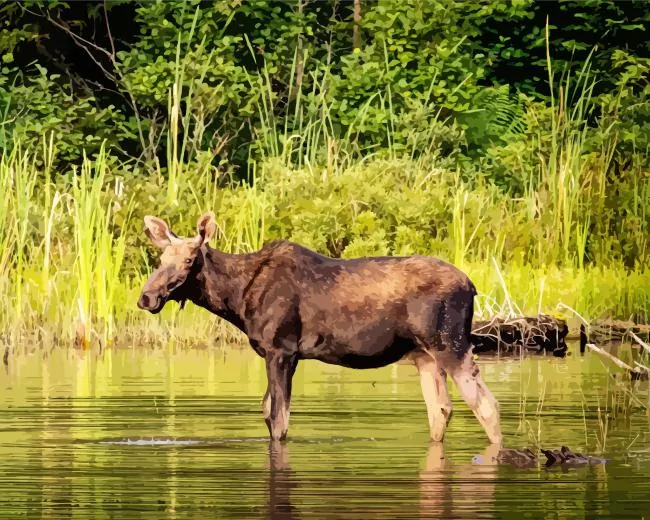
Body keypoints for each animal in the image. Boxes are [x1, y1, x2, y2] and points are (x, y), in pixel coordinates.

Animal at [137, 212, 502, 445]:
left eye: (188, 261)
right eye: (160, 260)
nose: (146, 297)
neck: (237, 301)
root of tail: (472, 287)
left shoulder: (282, 349)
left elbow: (279, 419)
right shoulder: (279, 354)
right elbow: (269, 413)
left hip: (450, 344)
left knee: (485, 405)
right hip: (423, 354)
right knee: (440, 410)